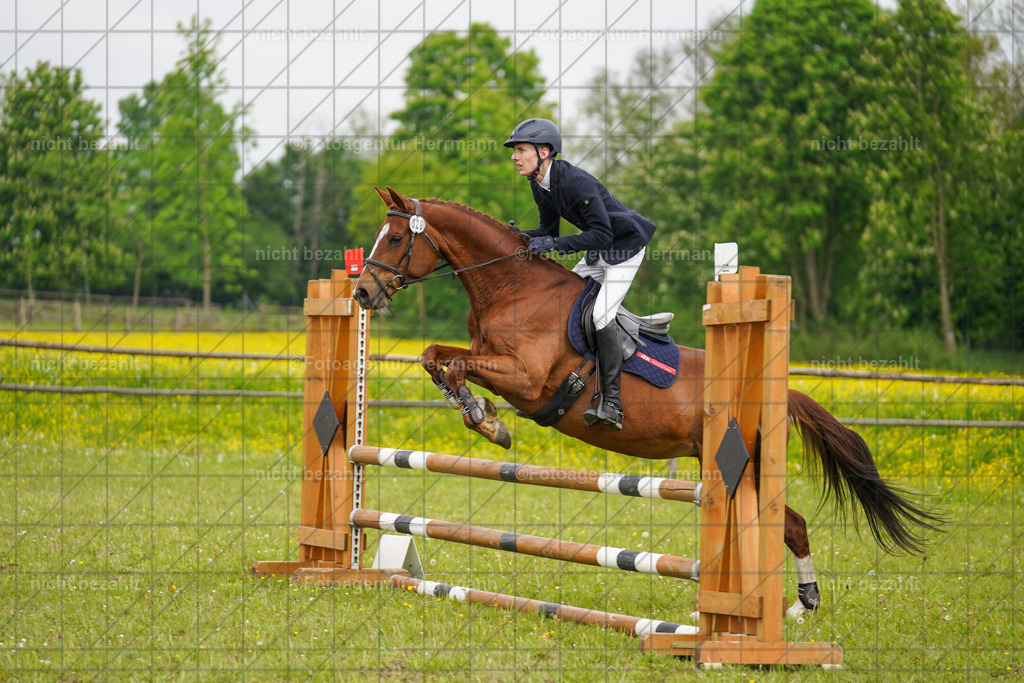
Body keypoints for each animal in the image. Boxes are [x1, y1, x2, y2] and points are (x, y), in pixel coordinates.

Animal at [352, 186, 942, 616]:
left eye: (394, 238)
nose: (361, 293)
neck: (513, 287)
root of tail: (775, 390)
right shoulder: (488, 358)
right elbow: (435, 356)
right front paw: (479, 413)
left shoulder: (526, 378)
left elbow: (457, 367)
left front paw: (485, 420)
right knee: (785, 525)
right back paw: (781, 608)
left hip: (735, 467)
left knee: (790, 524)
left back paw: (791, 608)